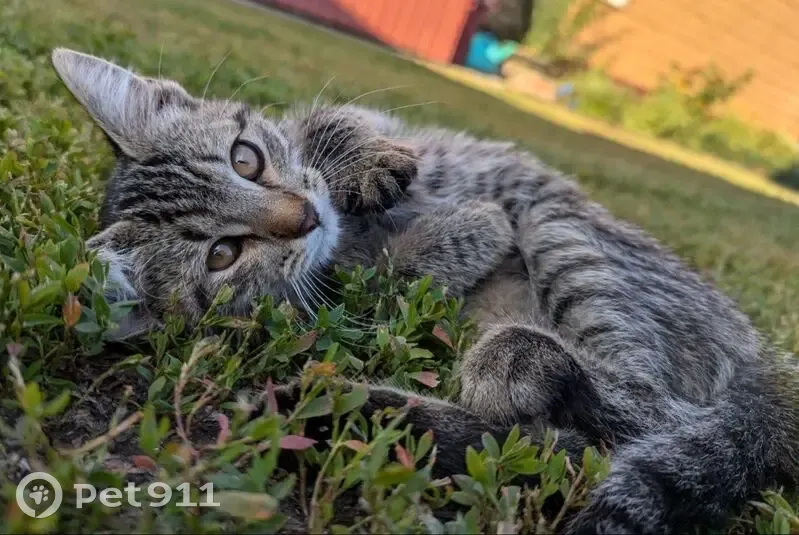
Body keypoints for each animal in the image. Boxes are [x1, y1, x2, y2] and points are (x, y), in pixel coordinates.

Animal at [49, 47, 799, 533]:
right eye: (223, 254)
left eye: (246, 158)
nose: (305, 217)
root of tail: (764, 363)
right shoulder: (365, 291)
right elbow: (398, 275)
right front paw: (465, 228)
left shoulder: (353, 132)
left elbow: (332, 121)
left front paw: (366, 164)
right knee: (587, 434)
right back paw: (361, 407)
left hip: (563, 230)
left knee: (640, 414)